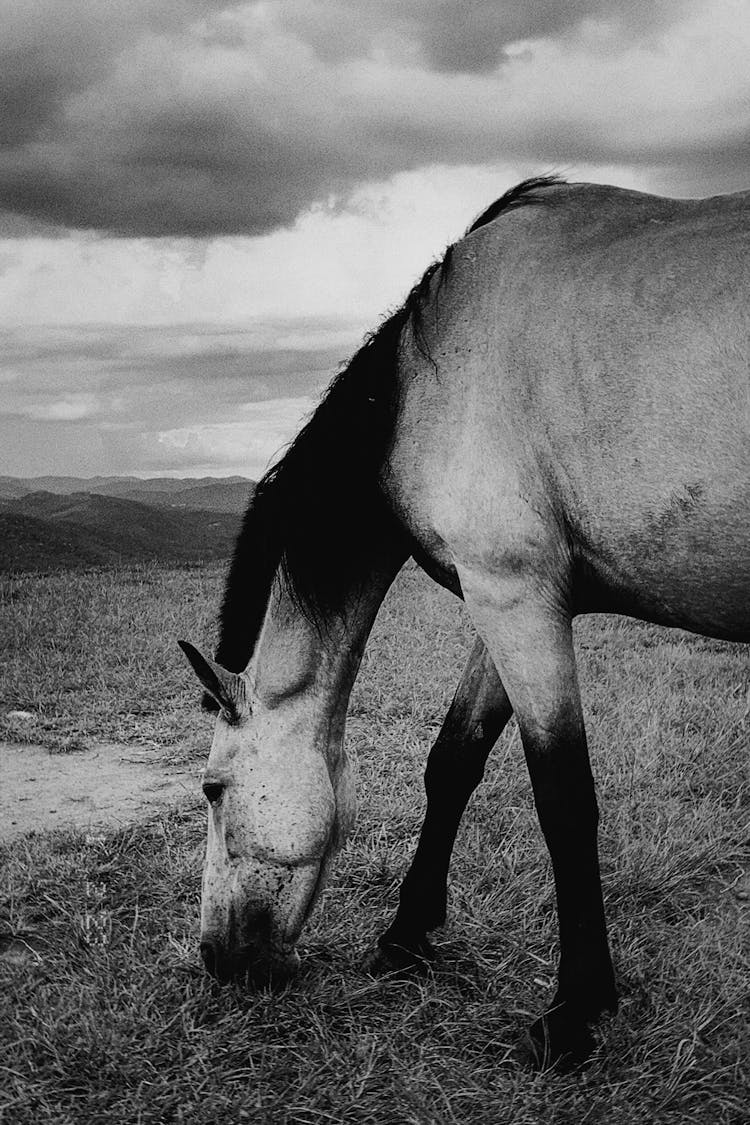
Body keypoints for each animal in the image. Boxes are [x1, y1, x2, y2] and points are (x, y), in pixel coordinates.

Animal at [178, 173, 746, 1062]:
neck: (423, 383)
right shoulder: (514, 599)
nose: (216, 959)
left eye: (211, 789)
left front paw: (575, 1011)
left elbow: (563, 799)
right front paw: (405, 936)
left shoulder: (513, 595)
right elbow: (454, 758)